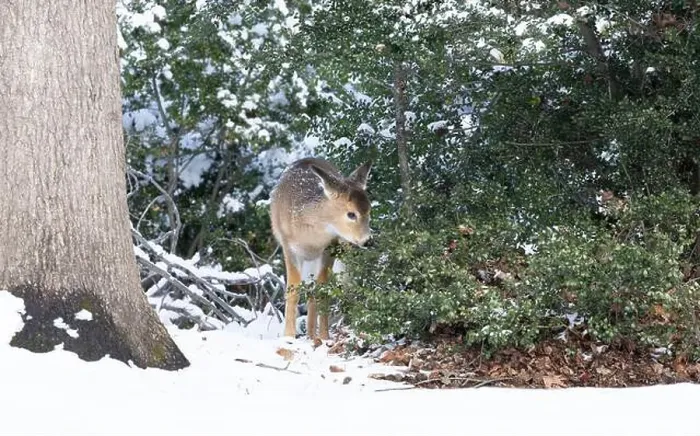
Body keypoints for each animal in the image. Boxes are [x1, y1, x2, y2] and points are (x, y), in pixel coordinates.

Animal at [269, 157, 373, 339]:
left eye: (369, 211)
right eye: (351, 214)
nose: (367, 240)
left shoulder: (330, 247)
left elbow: (323, 291)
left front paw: (324, 336)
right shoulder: (289, 248)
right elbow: (292, 291)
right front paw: (289, 336)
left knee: (319, 290)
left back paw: (313, 335)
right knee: (310, 290)